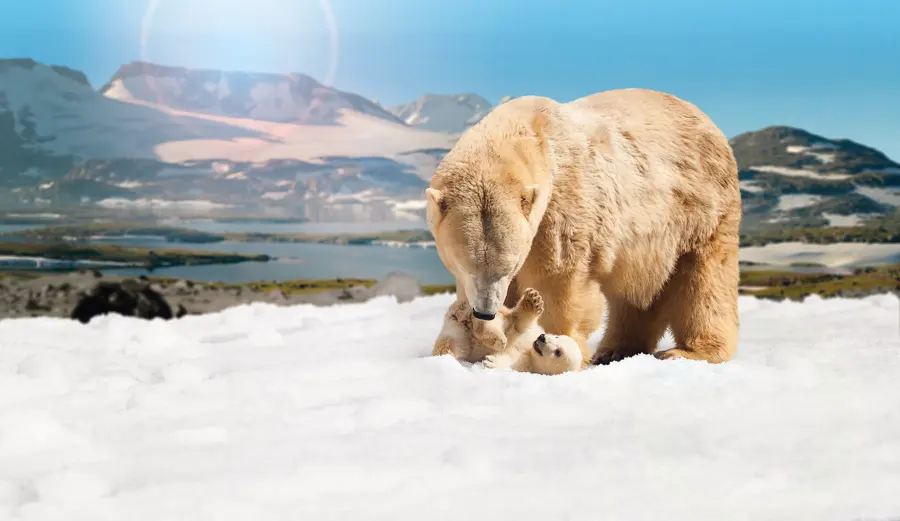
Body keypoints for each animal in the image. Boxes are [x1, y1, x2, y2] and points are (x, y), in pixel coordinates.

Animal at [425, 87, 741, 366]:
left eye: (509, 266)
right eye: (464, 265)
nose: (486, 312)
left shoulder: (562, 205)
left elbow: (558, 278)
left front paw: (554, 340)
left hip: (701, 210)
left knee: (703, 281)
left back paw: (688, 351)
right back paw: (615, 350)